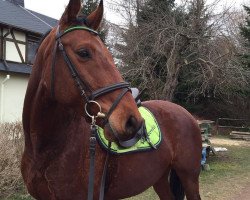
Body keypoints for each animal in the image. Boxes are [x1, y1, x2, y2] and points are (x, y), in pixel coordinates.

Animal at [21, 0, 201, 199]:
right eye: (83, 52)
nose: (133, 121)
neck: (45, 150)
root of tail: (187, 114)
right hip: (160, 178)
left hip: (189, 178)